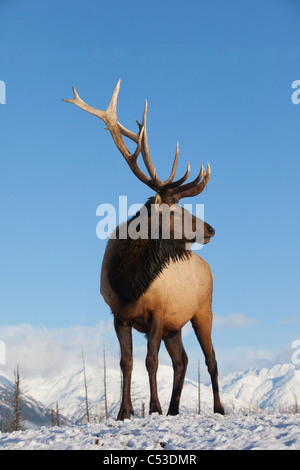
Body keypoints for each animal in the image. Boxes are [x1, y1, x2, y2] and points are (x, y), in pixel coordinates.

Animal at [63, 81, 224, 418]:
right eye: (175, 211)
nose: (211, 229)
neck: (127, 282)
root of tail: (206, 266)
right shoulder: (118, 315)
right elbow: (126, 363)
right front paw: (125, 411)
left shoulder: (158, 313)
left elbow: (151, 361)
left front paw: (153, 407)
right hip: (177, 325)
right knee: (182, 360)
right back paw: (175, 409)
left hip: (204, 310)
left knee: (211, 359)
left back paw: (218, 408)